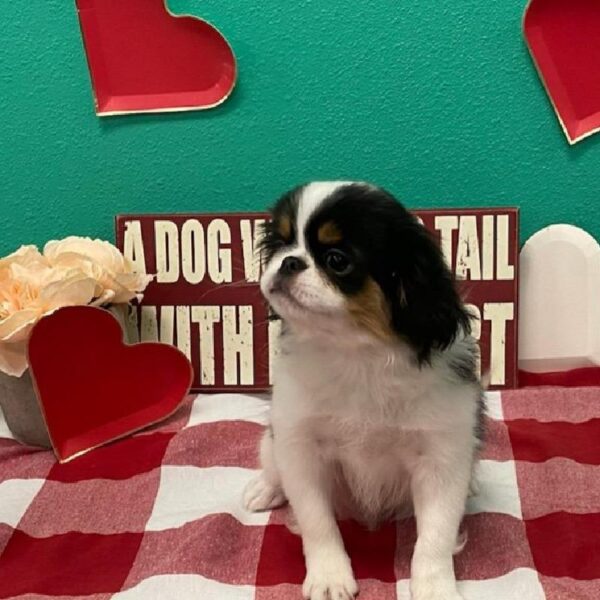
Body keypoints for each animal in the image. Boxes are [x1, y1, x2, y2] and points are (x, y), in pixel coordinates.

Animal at [244, 182, 482, 600]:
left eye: (337, 260)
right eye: (281, 244)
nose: (289, 262)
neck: (358, 356)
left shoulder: (443, 457)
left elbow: (435, 536)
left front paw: (434, 587)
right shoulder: (299, 445)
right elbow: (317, 521)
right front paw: (329, 576)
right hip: (273, 441)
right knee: (272, 467)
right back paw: (265, 489)